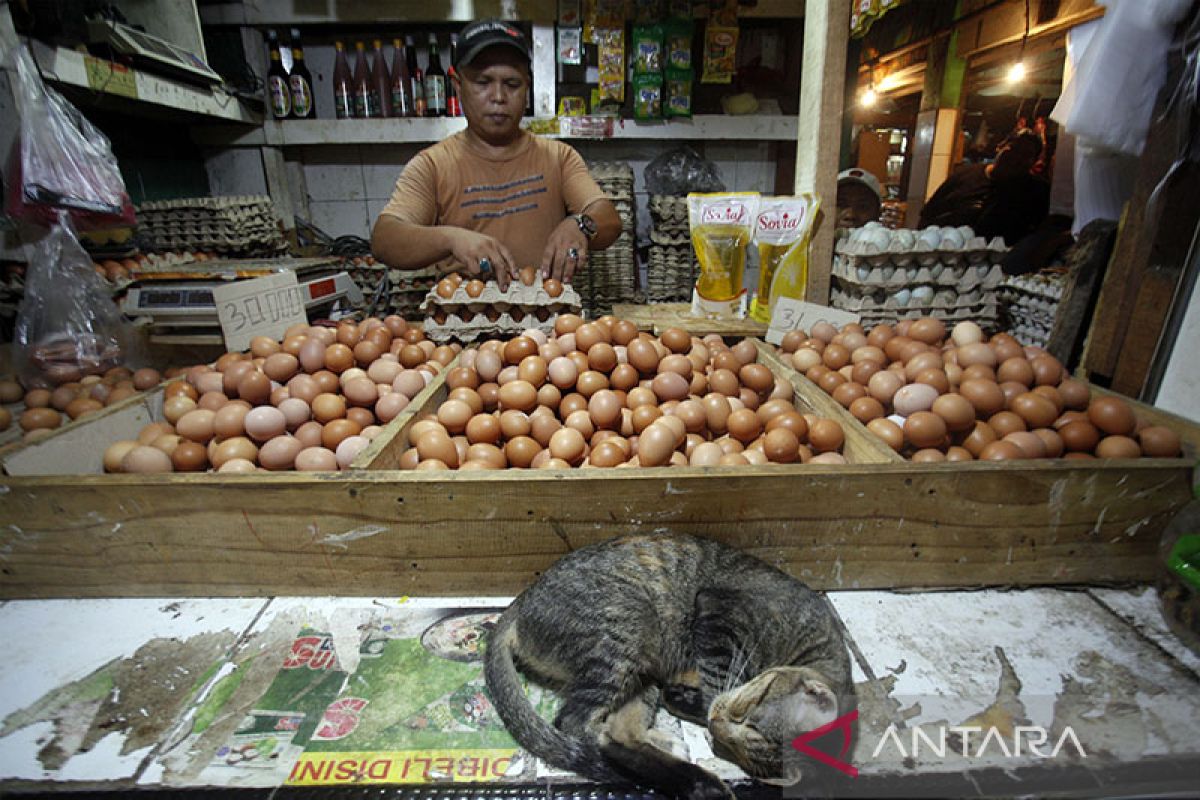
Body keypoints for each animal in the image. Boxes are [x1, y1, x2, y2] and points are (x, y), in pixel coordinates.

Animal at [480, 532, 854, 800]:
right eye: (749, 710)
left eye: (735, 746)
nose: (716, 726)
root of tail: (517, 605)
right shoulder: (717, 614)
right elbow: (719, 680)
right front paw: (703, 702)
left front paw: (690, 703)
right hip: (629, 627)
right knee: (579, 726)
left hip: (640, 671)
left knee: (617, 733)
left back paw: (694, 778)